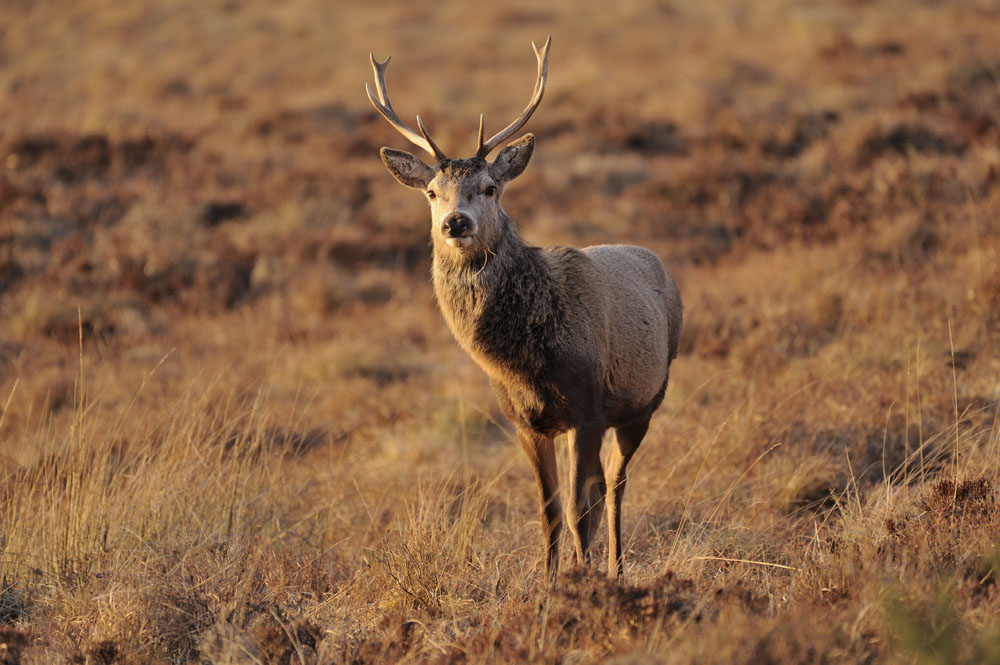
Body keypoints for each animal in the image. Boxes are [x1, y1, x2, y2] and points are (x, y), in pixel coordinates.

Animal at [366, 36, 682, 580]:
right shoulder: (524, 420)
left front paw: (582, 578)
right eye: (431, 192)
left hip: (645, 401)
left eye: (490, 187)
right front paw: (550, 581)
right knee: (600, 487)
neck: (527, 361)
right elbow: (550, 510)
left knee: (614, 487)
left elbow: (578, 509)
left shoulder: (588, 406)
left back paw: (616, 569)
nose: (455, 223)